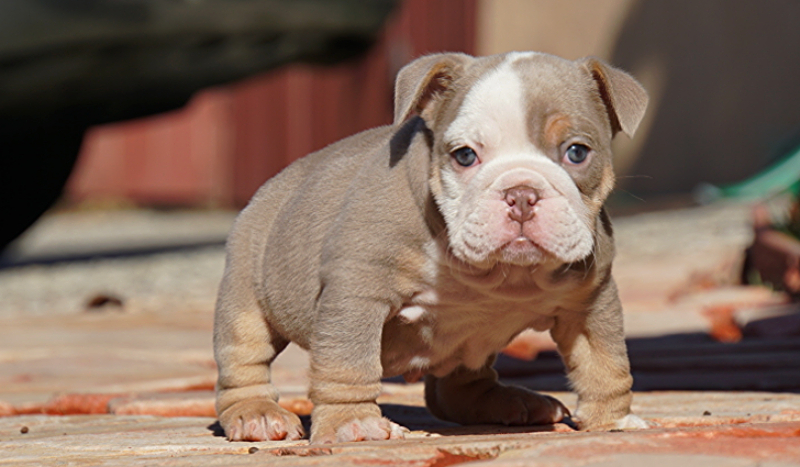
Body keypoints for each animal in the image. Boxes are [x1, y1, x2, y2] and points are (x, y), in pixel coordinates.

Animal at [214, 52, 648, 446]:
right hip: (246, 293)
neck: (498, 270)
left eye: (577, 152)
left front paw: (614, 420)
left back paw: (508, 401)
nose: (522, 194)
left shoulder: (590, 301)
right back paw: (257, 415)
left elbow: (604, 362)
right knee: (245, 359)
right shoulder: (357, 292)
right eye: (465, 155)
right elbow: (348, 360)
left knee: (458, 384)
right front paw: (352, 423)